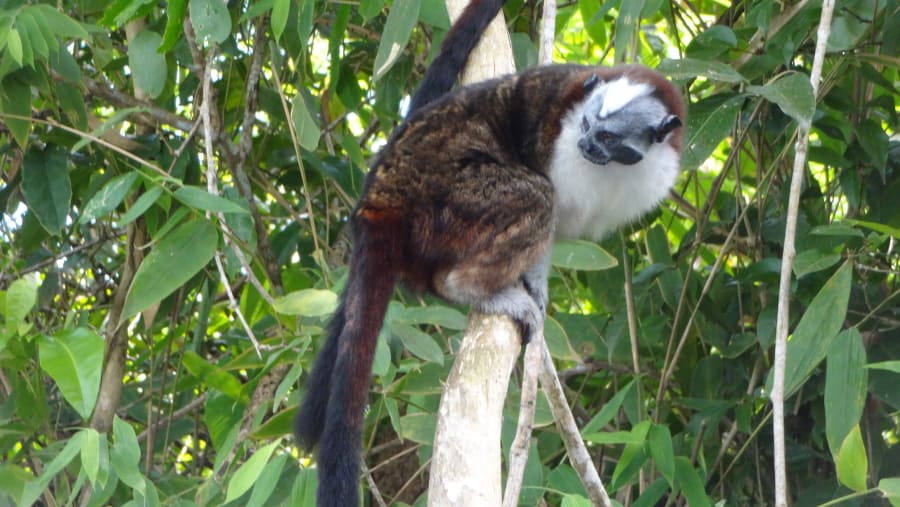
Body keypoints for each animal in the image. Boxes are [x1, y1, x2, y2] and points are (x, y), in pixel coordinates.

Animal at [294, 0, 686, 504]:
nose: (584, 144)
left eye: (610, 138)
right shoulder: (556, 134)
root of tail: (383, 197)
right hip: (446, 199)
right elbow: (548, 202)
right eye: (585, 126)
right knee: (536, 195)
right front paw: (532, 283)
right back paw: (474, 288)